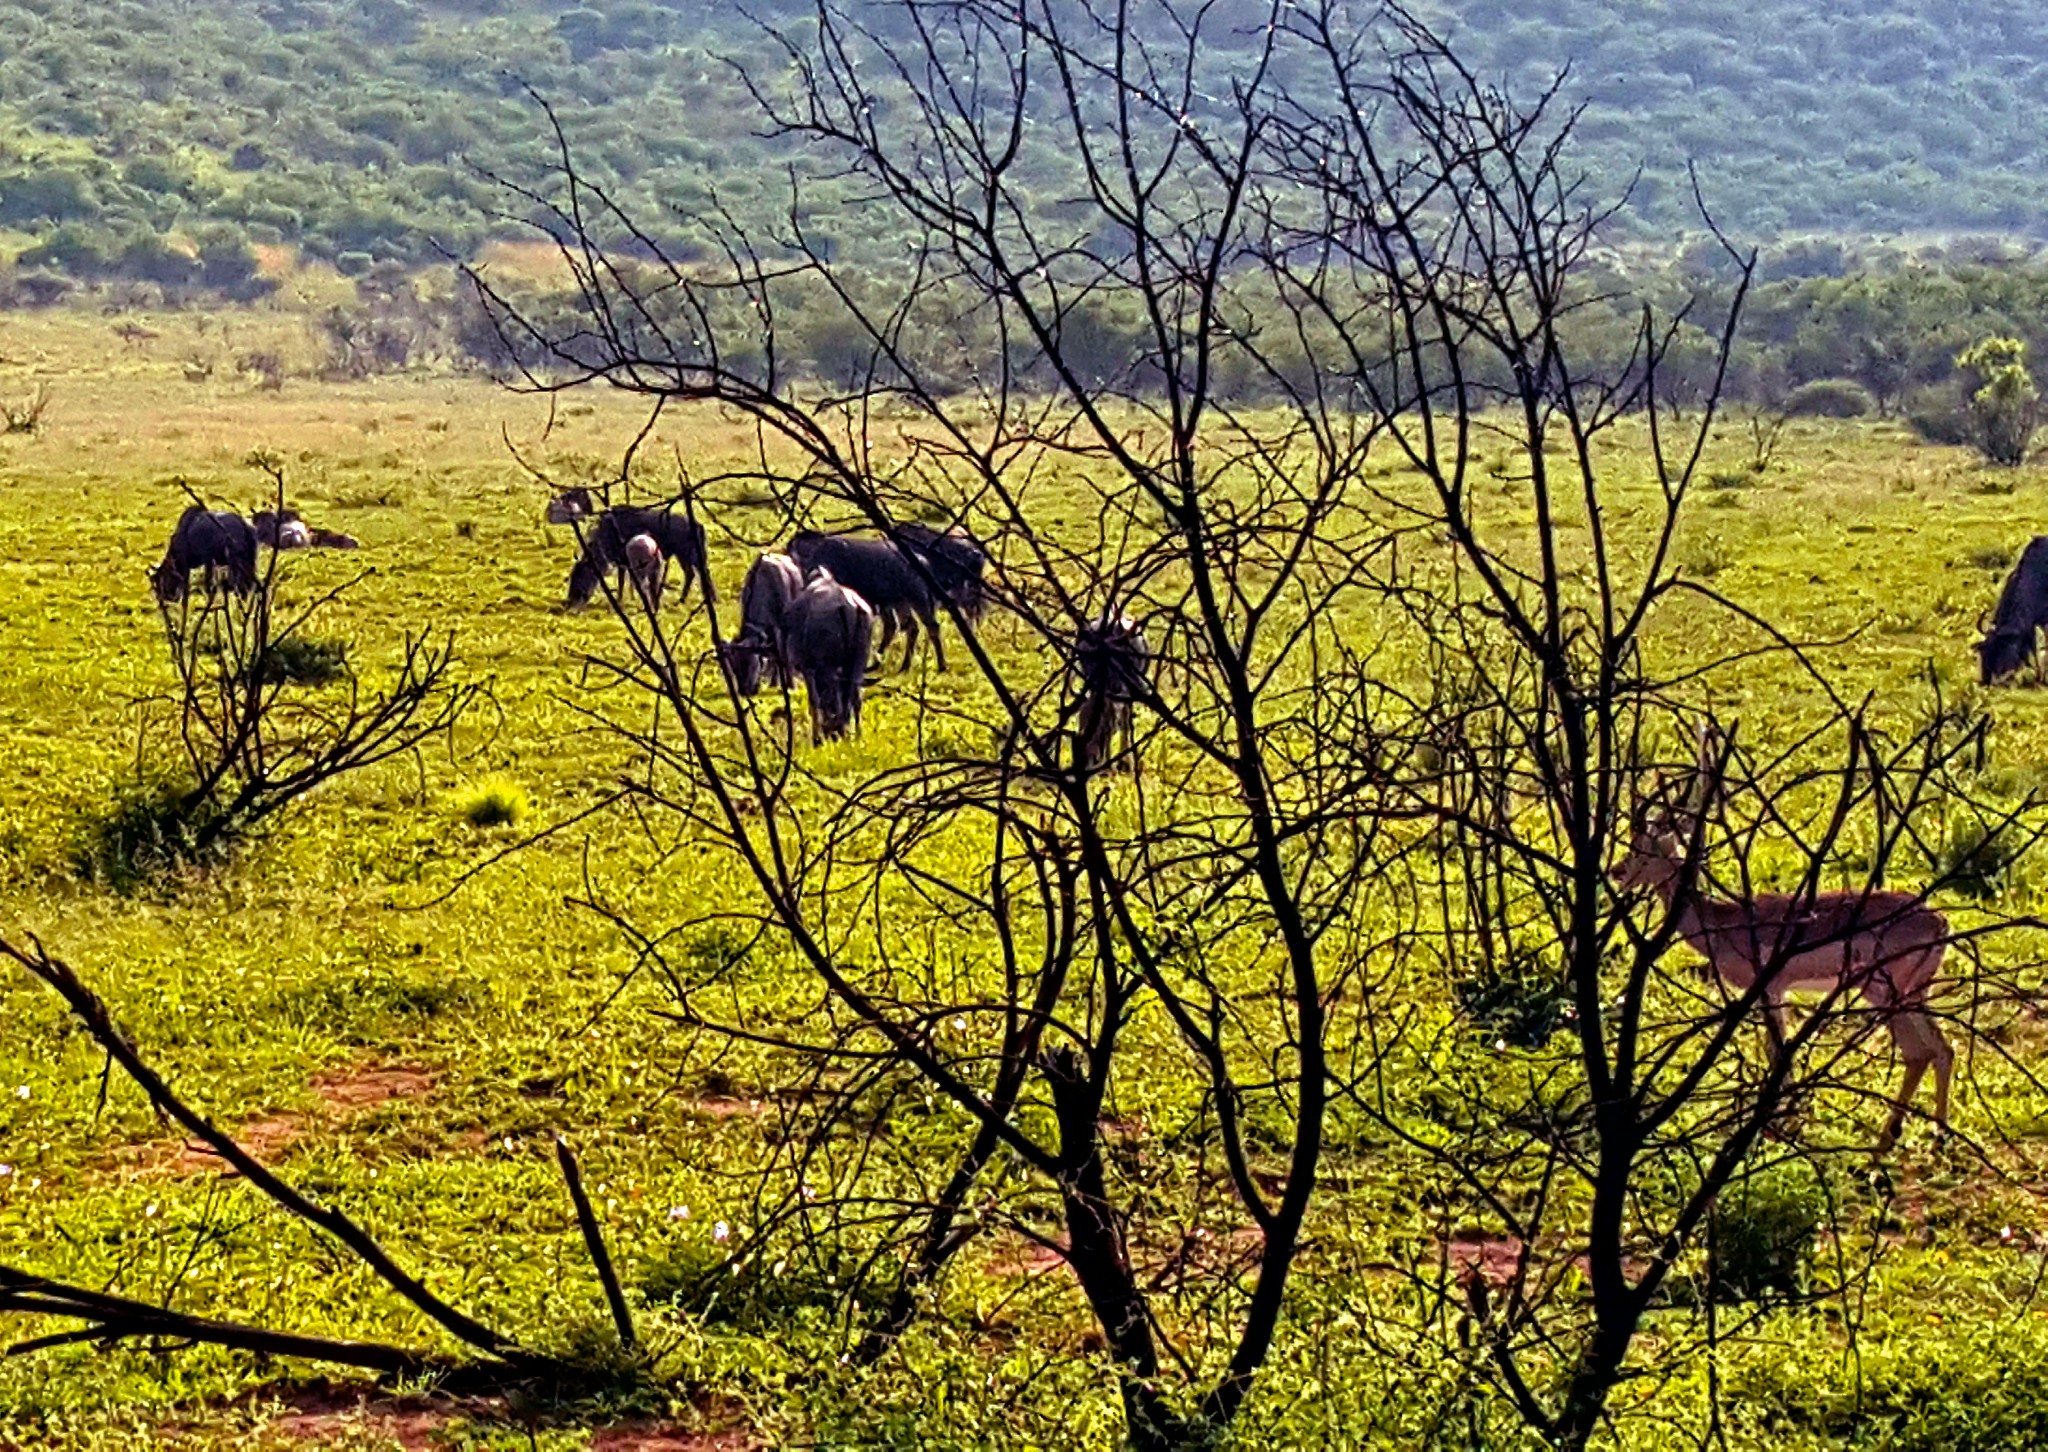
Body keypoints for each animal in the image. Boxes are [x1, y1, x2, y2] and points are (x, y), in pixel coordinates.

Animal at [1613, 741, 1949, 1146]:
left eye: (1643, 847)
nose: (1615, 871)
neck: (1725, 923)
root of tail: (1939, 921)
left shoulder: (1771, 988)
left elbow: (1778, 1053)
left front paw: (1778, 1123)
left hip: (1889, 992)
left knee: (1925, 1051)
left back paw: (1899, 1140)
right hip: (1907, 992)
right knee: (1936, 1051)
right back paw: (1923, 1136)